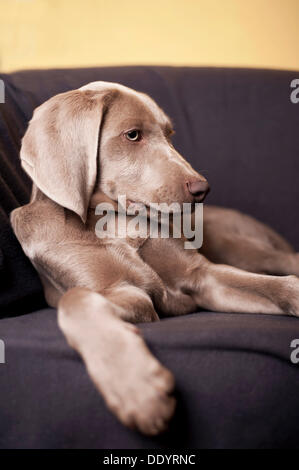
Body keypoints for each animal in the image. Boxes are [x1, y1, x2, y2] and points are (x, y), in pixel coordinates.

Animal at [10, 81, 299, 436]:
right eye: (133, 135)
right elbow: (76, 298)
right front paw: (136, 387)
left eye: (170, 134)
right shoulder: (127, 293)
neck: (113, 220)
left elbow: (279, 286)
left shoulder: (203, 277)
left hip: (240, 246)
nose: (202, 189)